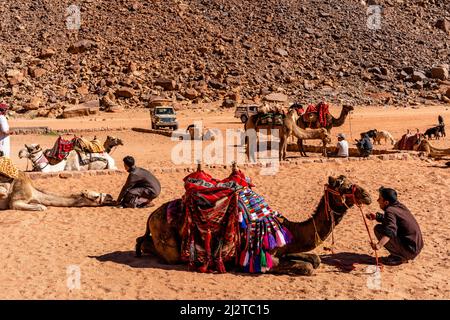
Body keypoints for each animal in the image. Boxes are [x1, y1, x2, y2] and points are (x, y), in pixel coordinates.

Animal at [134, 172, 372, 276]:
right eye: (344, 187)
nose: (368, 195)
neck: (289, 229)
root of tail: (151, 215)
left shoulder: (285, 248)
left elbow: (315, 259)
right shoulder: (266, 258)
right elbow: (307, 268)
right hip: (168, 240)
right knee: (155, 248)